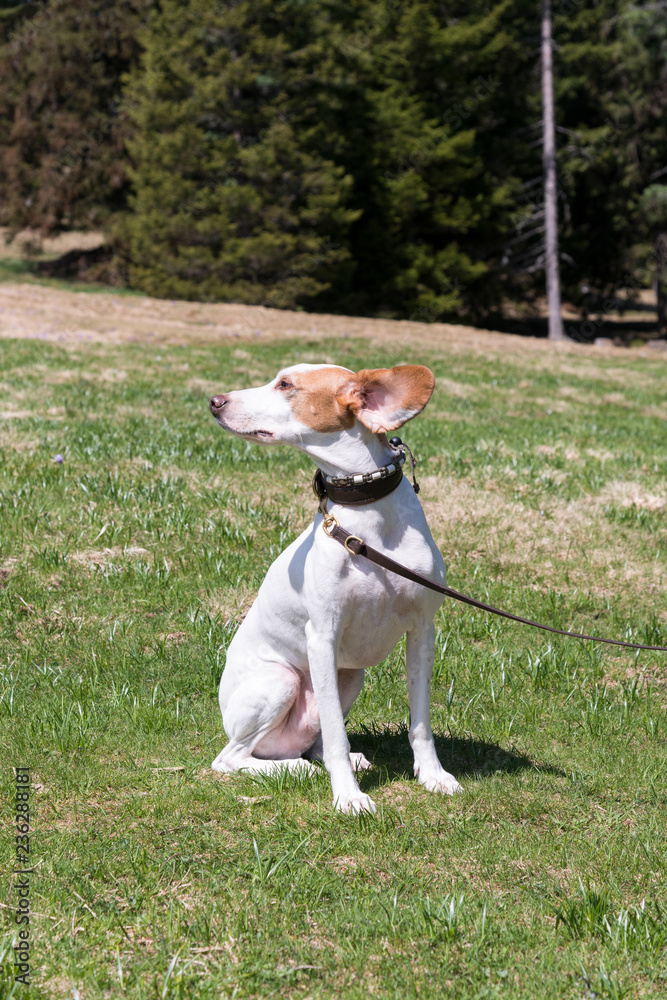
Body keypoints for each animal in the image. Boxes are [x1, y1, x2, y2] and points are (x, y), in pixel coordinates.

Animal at [211, 364, 462, 816]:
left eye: (286, 385)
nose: (214, 401)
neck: (369, 518)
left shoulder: (423, 632)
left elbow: (420, 722)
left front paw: (433, 775)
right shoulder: (322, 637)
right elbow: (335, 736)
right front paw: (348, 796)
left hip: (351, 677)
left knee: (312, 741)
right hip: (281, 680)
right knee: (232, 758)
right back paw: (295, 768)